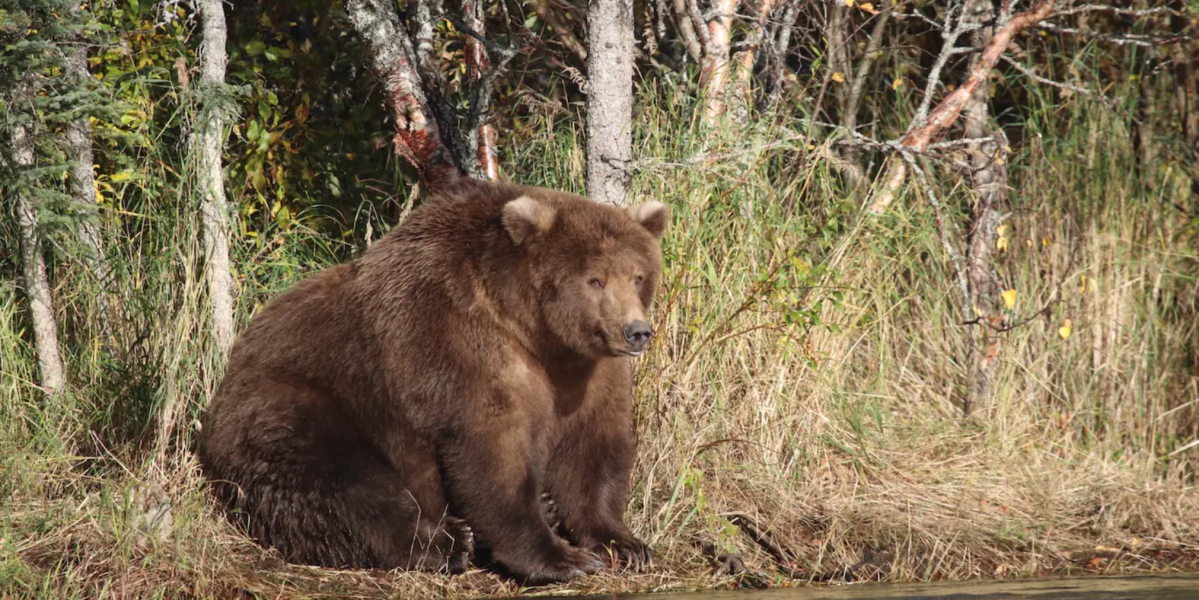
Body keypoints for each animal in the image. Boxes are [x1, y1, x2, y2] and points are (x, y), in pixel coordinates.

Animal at [196, 178, 669, 584]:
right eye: (595, 279)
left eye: (638, 276)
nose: (636, 332)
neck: (533, 331)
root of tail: (226, 378)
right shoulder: (457, 344)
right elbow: (492, 452)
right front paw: (561, 557)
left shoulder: (586, 372)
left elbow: (593, 448)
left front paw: (624, 544)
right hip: (297, 403)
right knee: (342, 483)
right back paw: (449, 542)